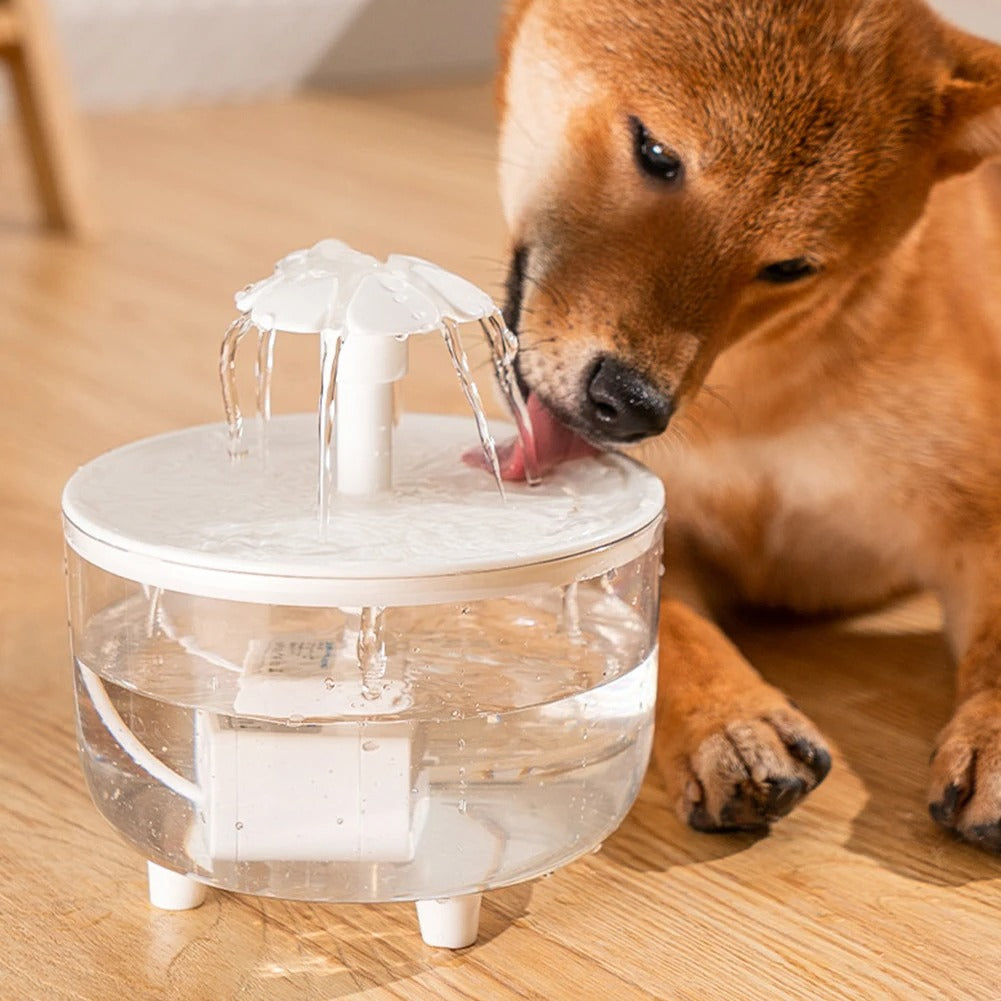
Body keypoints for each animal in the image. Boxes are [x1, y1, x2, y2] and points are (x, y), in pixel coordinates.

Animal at [500, 0, 1001, 852]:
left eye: (790, 266)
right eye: (656, 152)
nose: (633, 402)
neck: (758, 394)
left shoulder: (976, 511)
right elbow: (671, 626)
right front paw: (728, 723)